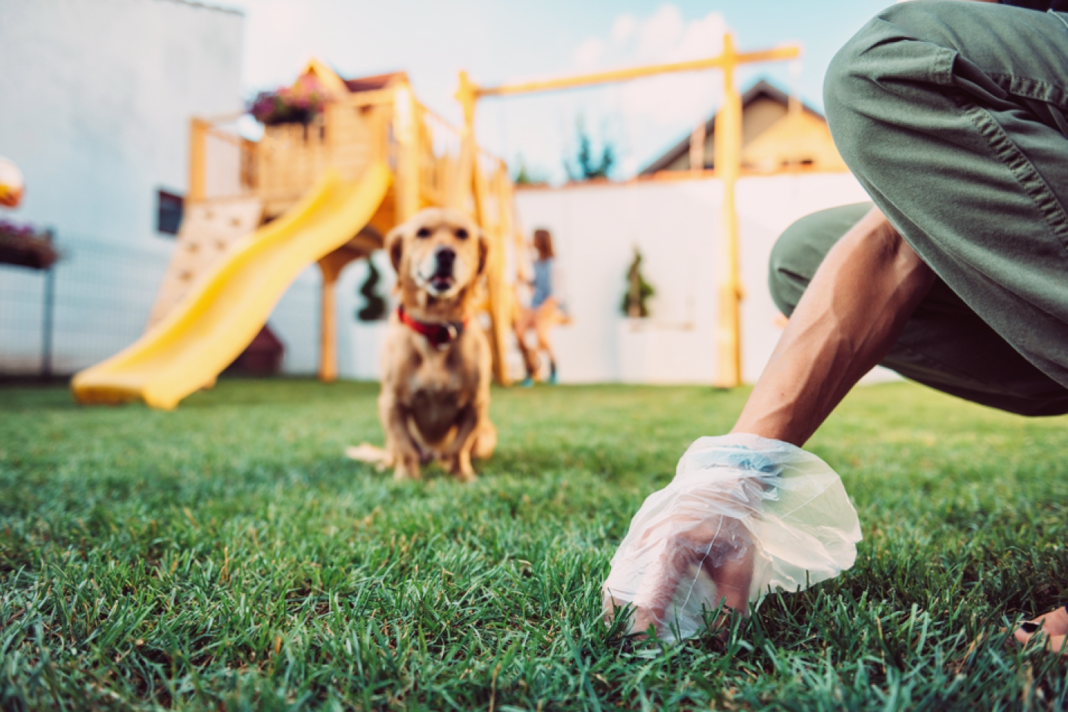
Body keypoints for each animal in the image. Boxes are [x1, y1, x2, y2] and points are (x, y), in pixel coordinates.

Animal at [354, 209, 495, 482]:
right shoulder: (391, 404)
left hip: (487, 435)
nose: (446, 254)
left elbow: (458, 447)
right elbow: (405, 448)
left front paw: (462, 476)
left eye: (462, 234)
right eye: (422, 233)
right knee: (394, 452)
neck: (436, 328)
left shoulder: (476, 404)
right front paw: (407, 479)